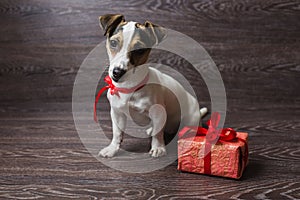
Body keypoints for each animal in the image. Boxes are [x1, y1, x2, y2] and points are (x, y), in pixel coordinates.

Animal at [96, 14, 206, 158]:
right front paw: (112, 148)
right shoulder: (117, 113)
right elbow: (117, 133)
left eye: (140, 49)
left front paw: (158, 148)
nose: (117, 72)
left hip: (190, 121)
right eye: (113, 43)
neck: (130, 88)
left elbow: (158, 135)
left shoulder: (158, 113)